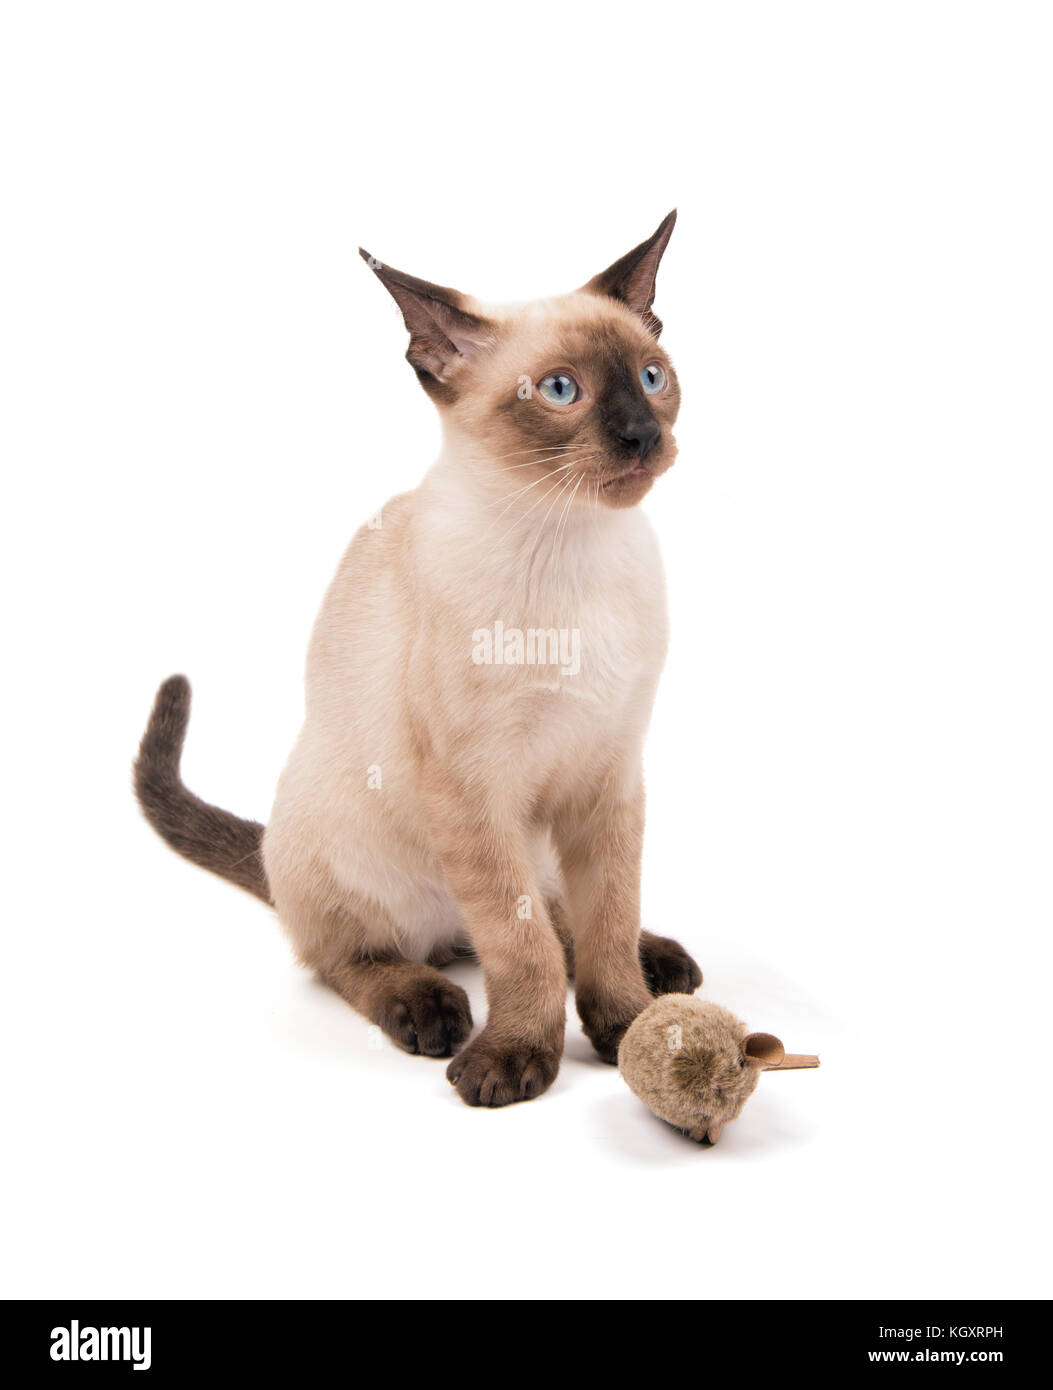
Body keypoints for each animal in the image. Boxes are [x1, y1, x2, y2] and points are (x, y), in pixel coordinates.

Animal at [138, 214, 700, 1106]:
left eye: (652, 378)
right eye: (560, 391)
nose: (644, 436)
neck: (570, 548)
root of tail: (444, 936)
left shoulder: (610, 771)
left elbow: (605, 916)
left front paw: (626, 1023)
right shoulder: (473, 789)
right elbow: (520, 946)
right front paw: (516, 1056)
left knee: (563, 914)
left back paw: (660, 962)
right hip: (349, 844)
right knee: (356, 956)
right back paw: (429, 1009)